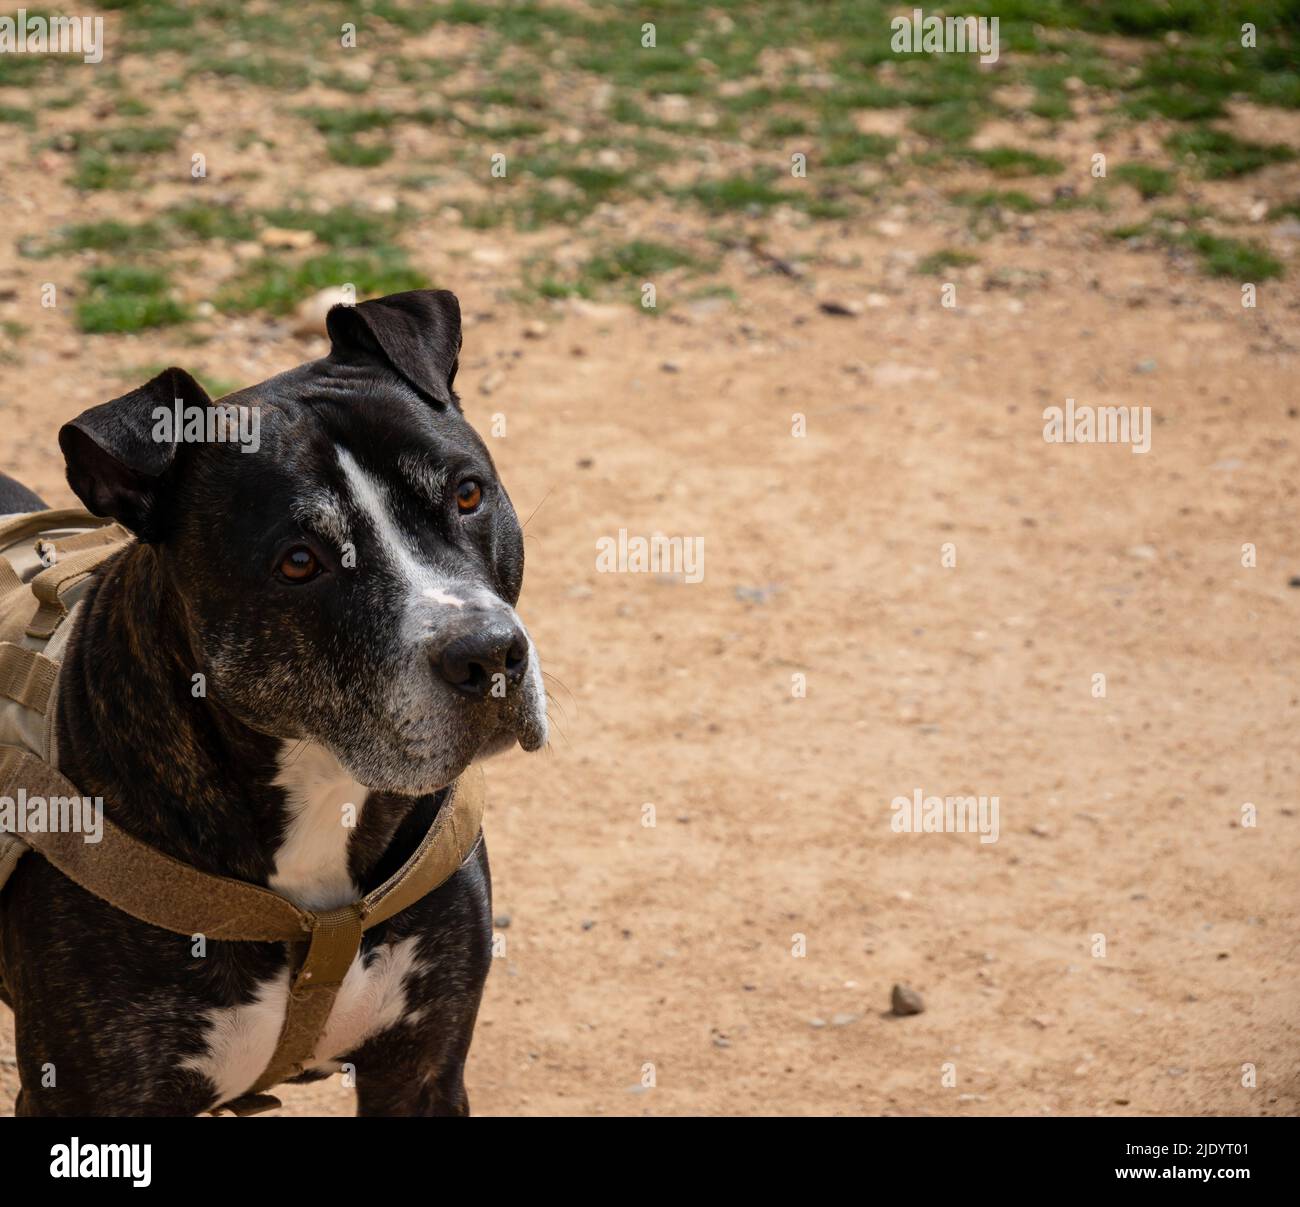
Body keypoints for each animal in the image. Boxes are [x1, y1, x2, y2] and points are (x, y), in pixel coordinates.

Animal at [0, 284, 548, 1113]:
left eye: (467, 493)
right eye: (299, 561)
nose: (488, 653)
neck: (322, 785)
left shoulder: (422, 1068)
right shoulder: (89, 1094)